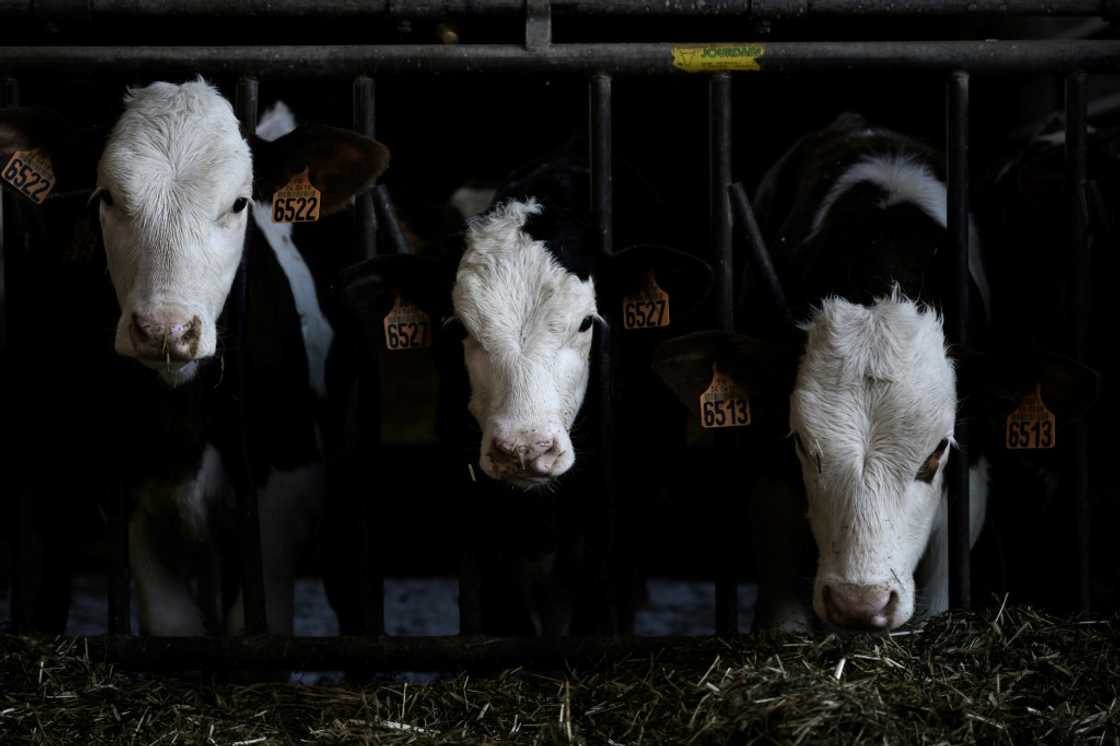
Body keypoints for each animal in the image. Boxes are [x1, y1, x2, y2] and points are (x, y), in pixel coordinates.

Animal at [0, 79, 389, 636]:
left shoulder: (276, 506)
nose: (166, 329)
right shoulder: (135, 507)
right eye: (107, 197)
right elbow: (173, 627)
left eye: (240, 203)